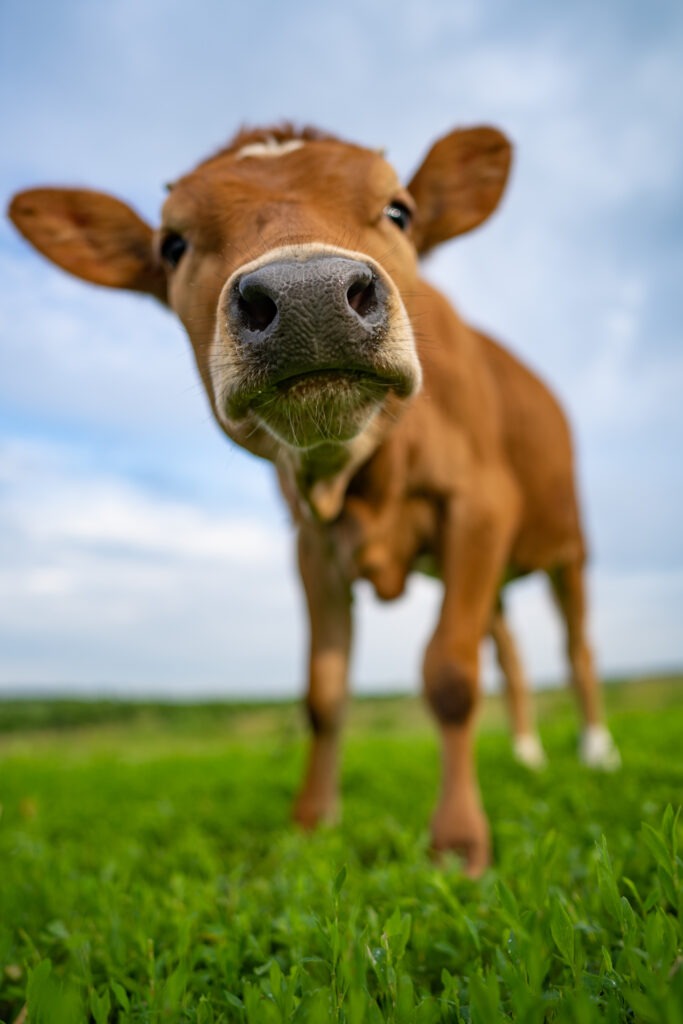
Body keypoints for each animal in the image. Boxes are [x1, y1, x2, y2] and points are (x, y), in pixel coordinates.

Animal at [8, 122, 620, 876]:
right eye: (172, 243)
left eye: (399, 210)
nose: (309, 298)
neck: (353, 477)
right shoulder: (311, 546)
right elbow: (323, 693)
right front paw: (311, 825)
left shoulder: (479, 507)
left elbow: (450, 673)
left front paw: (457, 843)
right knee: (508, 649)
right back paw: (528, 753)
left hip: (568, 544)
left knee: (577, 646)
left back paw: (596, 753)